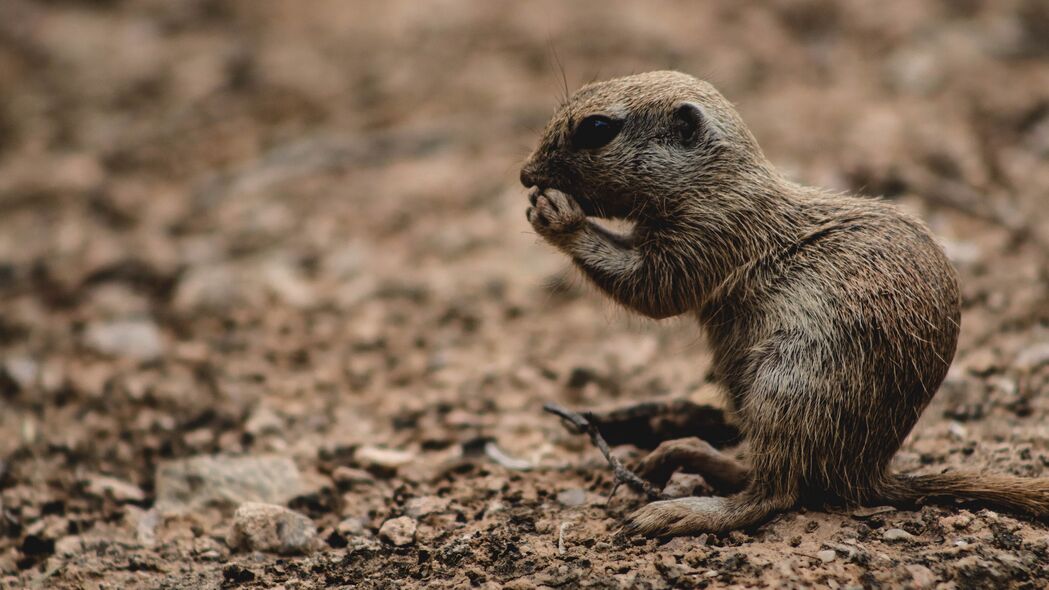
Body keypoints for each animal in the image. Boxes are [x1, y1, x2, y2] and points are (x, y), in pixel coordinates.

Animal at [522, 69, 1049, 537]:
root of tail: (867, 474)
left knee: (773, 494)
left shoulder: (708, 236)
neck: (717, 182)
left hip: (785, 386)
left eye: (597, 128)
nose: (526, 174)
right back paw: (677, 454)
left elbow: (652, 290)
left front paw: (556, 216)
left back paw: (681, 510)